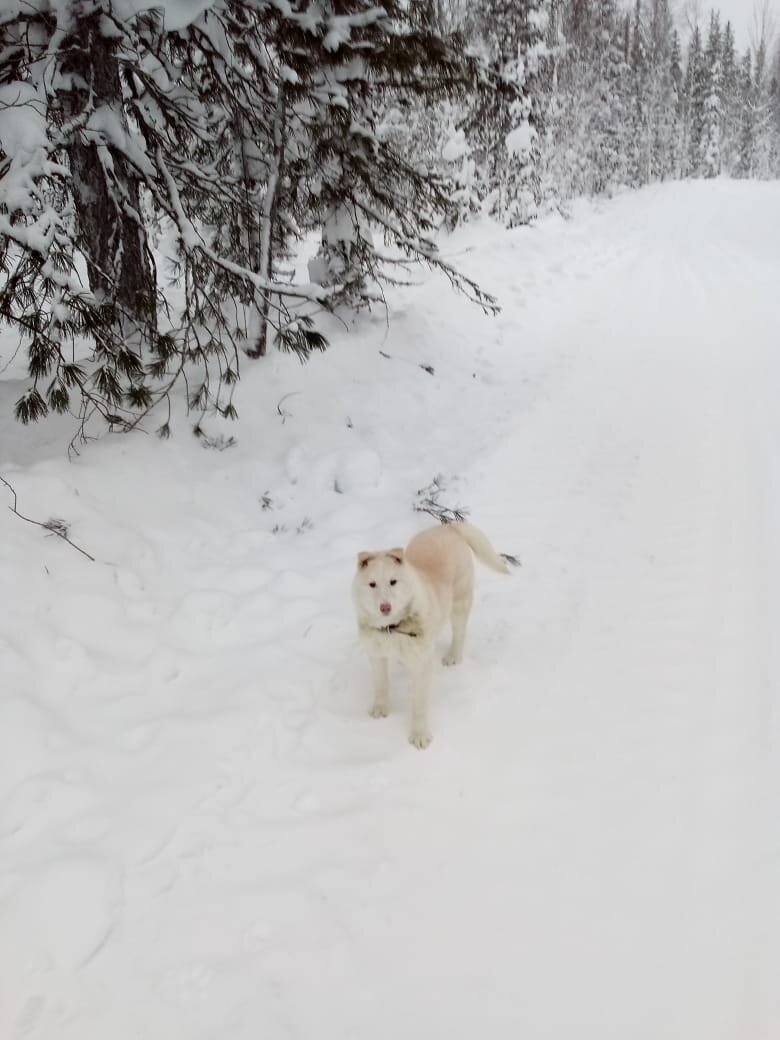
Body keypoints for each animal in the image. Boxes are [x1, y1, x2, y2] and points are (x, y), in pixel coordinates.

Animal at [353, 524, 513, 752]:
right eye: (372, 584)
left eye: (393, 582)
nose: (385, 607)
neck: (392, 628)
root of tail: (448, 526)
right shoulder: (376, 654)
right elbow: (381, 685)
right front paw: (380, 709)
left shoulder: (422, 666)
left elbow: (419, 705)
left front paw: (419, 736)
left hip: (459, 603)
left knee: (459, 633)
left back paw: (453, 656)